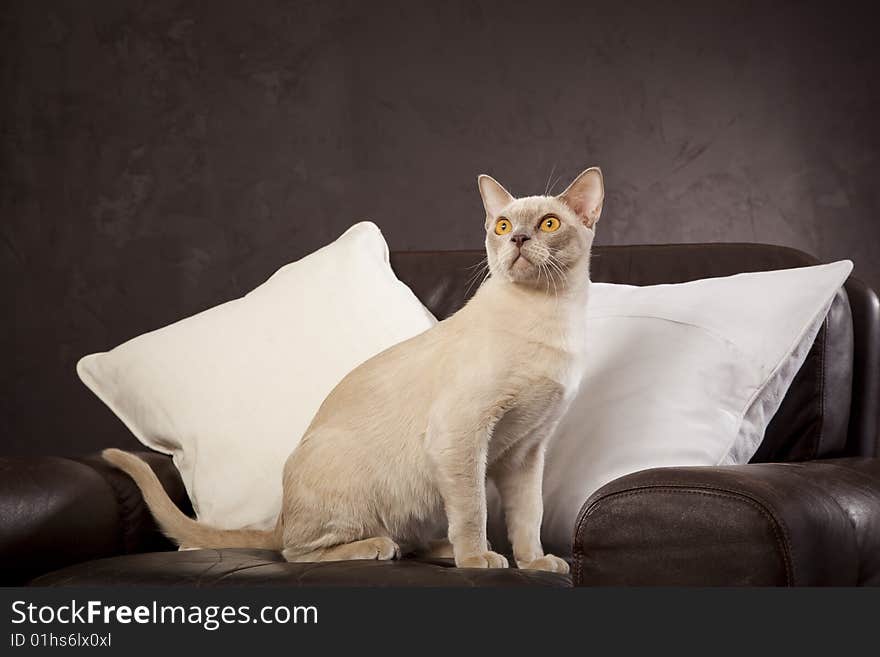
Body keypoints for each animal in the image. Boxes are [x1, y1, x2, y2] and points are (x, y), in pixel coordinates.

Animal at [101, 167, 600, 572]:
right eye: (503, 226)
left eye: (548, 223)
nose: (518, 239)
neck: (550, 315)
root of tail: (279, 516)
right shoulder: (462, 434)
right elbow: (474, 509)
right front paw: (478, 560)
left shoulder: (525, 452)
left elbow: (528, 517)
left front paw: (535, 564)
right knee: (297, 551)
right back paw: (388, 548)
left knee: (407, 539)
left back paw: (441, 550)